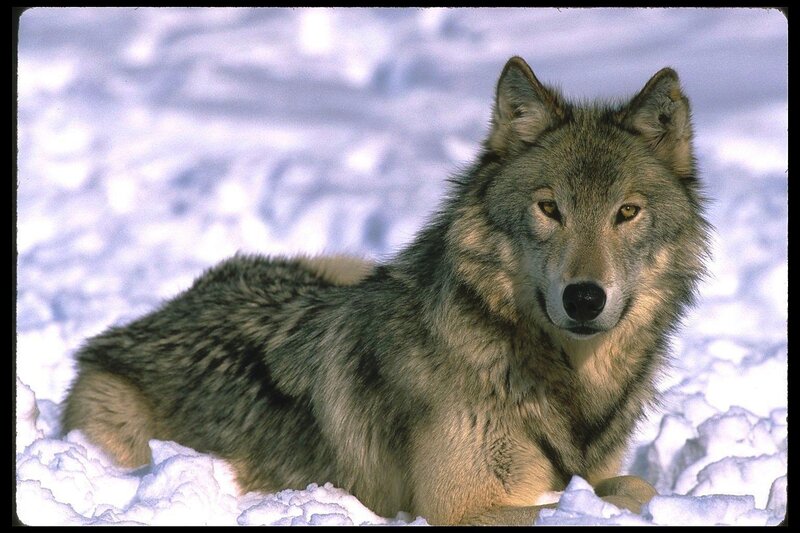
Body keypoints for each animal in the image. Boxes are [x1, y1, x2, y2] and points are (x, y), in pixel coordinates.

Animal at [62, 56, 710, 525]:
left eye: (626, 212)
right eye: (550, 209)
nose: (584, 298)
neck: (558, 382)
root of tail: (149, 319)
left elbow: (627, 481)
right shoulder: (461, 509)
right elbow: (623, 493)